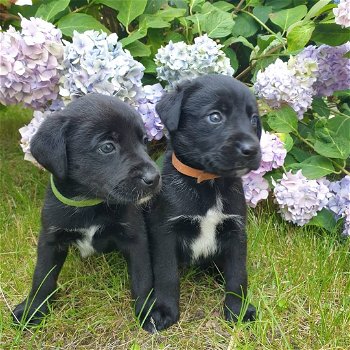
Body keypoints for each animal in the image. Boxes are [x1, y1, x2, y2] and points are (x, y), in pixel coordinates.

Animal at [11, 92, 160, 326]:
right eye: (107, 147)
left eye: (144, 141)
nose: (154, 178)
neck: (89, 202)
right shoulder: (50, 238)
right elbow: (42, 276)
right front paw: (32, 309)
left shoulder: (135, 237)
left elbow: (142, 277)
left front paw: (148, 311)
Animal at [142, 74, 260, 330]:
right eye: (215, 117)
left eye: (254, 119)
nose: (252, 149)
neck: (208, 182)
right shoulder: (165, 232)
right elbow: (167, 275)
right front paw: (165, 312)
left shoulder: (236, 231)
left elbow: (238, 275)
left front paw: (238, 310)